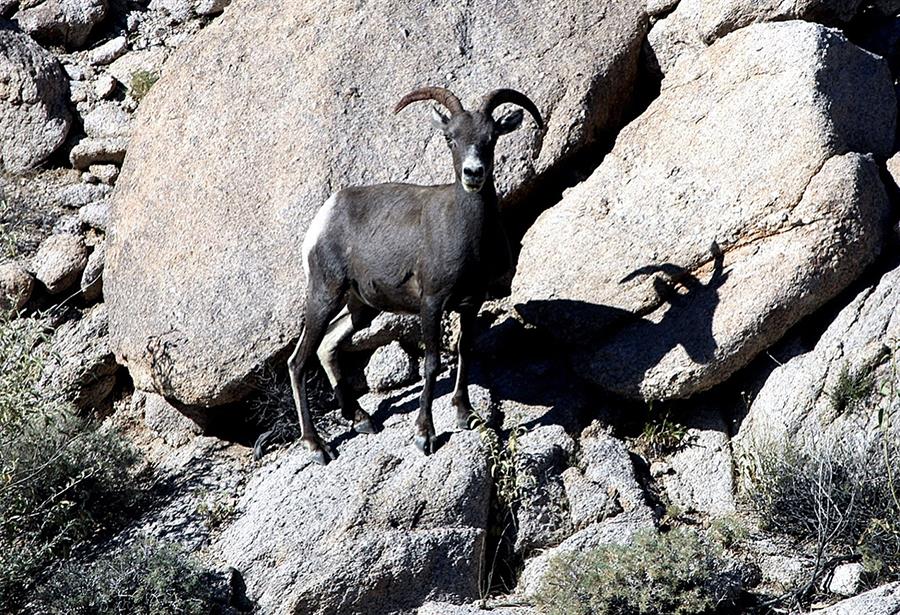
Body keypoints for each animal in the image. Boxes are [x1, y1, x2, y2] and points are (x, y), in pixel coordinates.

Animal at [282, 85, 540, 462]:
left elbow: (465, 350)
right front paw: (425, 435)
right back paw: (317, 446)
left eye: (491, 138)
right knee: (298, 362)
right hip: (324, 295)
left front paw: (465, 415)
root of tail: (325, 216)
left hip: (362, 307)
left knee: (328, 346)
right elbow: (432, 363)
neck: (468, 234)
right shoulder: (431, 303)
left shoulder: (471, 303)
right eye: (451, 139)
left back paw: (362, 419)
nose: (473, 173)